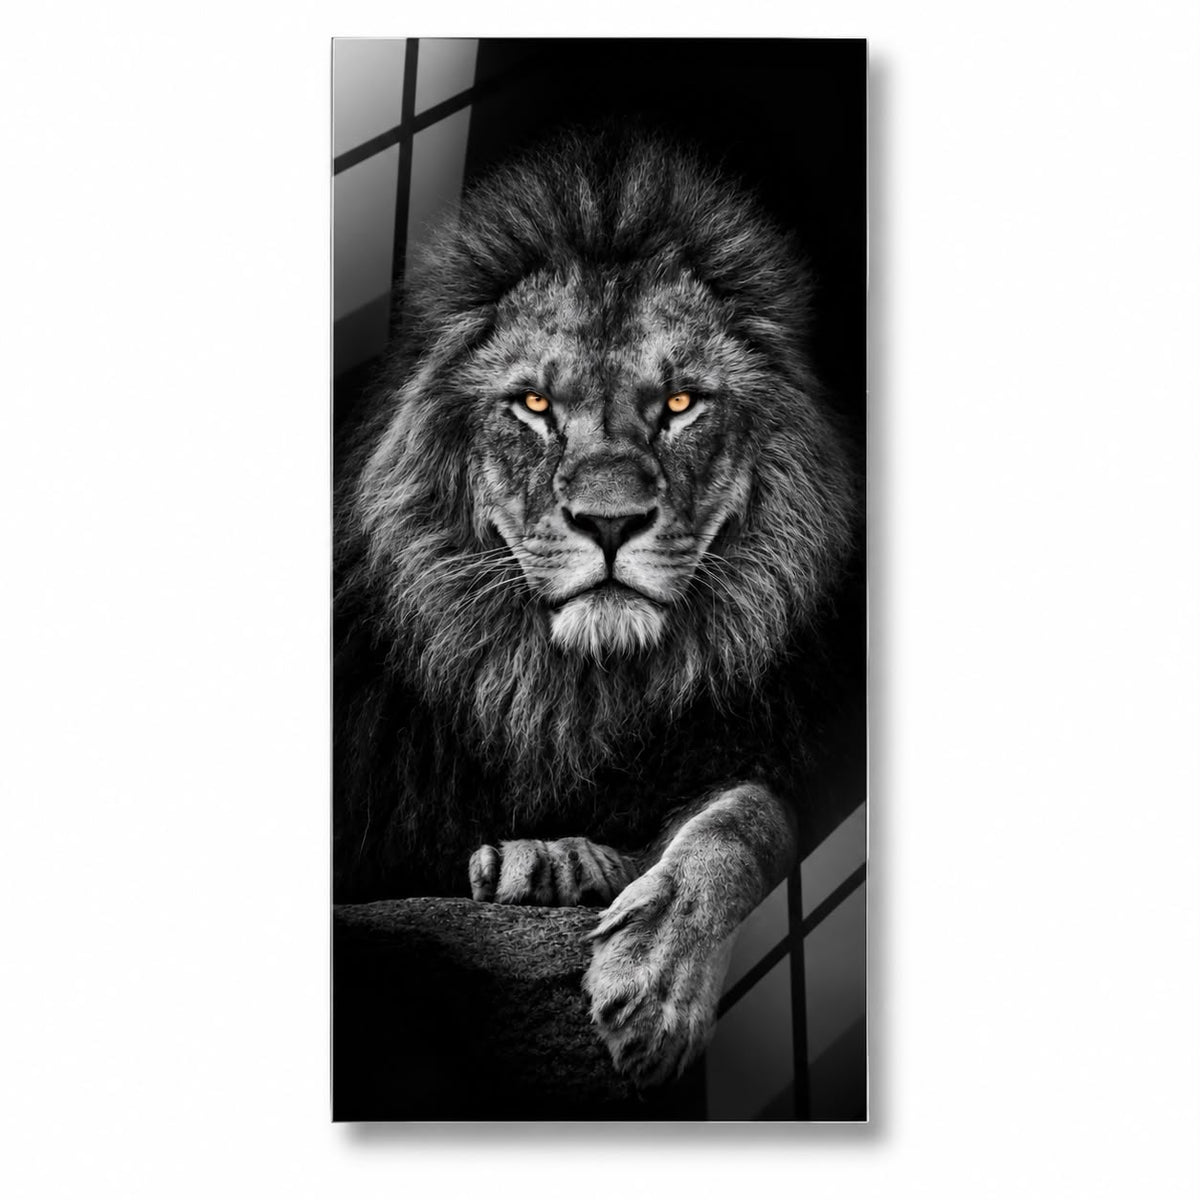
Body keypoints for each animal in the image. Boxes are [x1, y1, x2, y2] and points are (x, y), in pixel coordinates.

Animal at [334, 129, 861, 1090]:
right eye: (535, 406)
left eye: (680, 404)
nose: (610, 523)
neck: (582, 695)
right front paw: (542, 864)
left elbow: (741, 819)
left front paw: (650, 971)